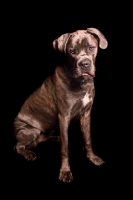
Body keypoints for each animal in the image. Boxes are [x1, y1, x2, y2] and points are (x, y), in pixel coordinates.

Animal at [14, 27, 107, 182]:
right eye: (72, 51)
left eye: (91, 47)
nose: (84, 64)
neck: (81, 83)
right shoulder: (63, 116)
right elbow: (65, 148)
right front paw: (65, 171)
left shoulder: (86, 114)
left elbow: (87, 139)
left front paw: (92, 158)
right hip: (29, 130)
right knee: (18, 146)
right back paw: (29, 154)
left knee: (43, 139)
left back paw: (56, 138)